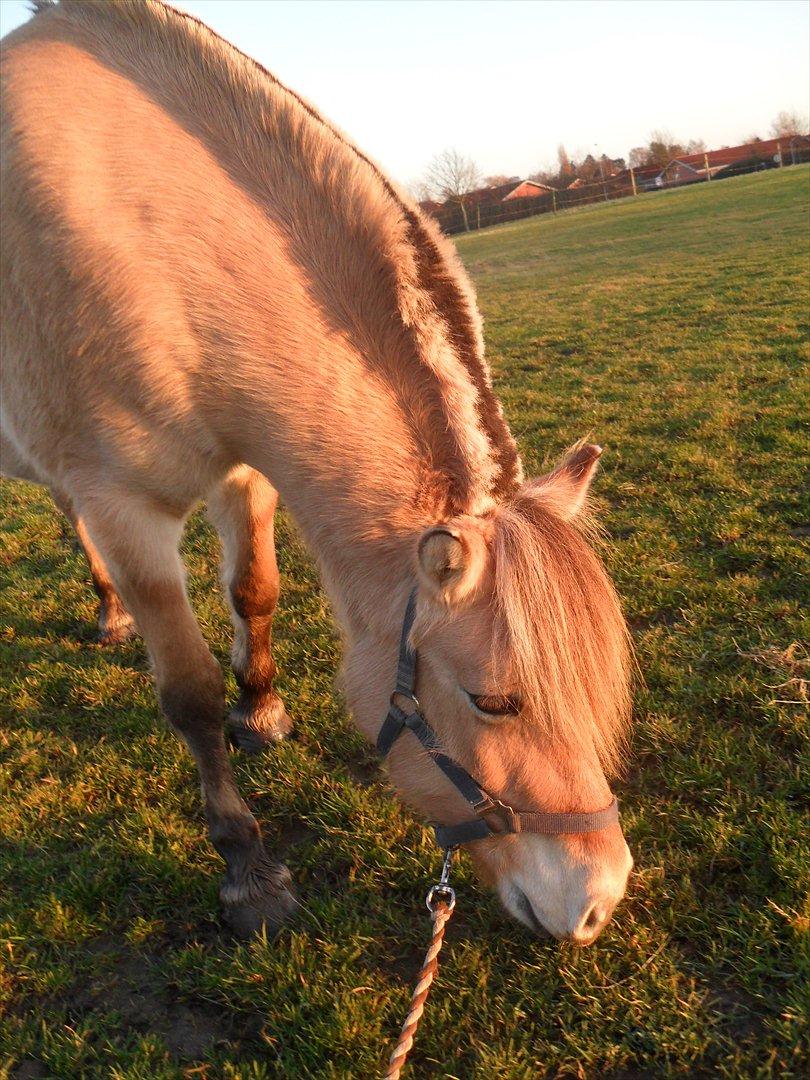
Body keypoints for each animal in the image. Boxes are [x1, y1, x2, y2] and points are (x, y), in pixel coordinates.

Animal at [0, 0, 635, 941]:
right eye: (493, 703)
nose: (598, 898)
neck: (148, 236)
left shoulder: (246, 471)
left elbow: (255, 594)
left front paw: (260, 710)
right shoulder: (125, 510)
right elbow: (189, 697)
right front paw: (247, 871)